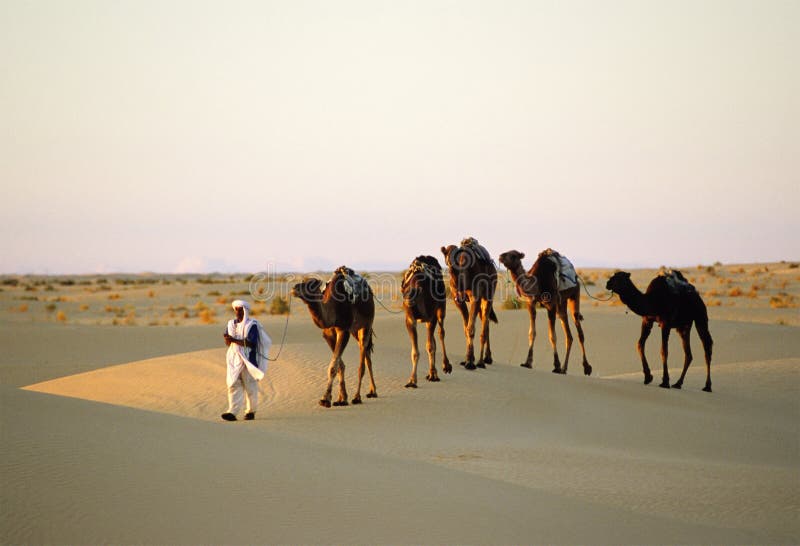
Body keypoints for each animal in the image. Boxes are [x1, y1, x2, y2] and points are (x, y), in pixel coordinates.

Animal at [290, 264, 378, 404]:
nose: (294, 289)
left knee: (362, 361)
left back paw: (357, 397)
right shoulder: (328, 335)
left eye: (310, 284)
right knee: (367, 356)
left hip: (366, 325)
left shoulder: (343, 331)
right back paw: (372, 391)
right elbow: (340, 365)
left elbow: (333, 366)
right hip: (354, 330)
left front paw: (325, 399)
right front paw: (342, 398)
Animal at [400, 255, 450, 386]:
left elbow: (430, 346)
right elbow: (415, 351)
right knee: (434, 339)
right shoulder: (410, 319)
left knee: (441, 332)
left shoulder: (431, 317)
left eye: (413, 295)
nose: (408, 302)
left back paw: (445, 366)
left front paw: (433, 374)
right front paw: (412, 380)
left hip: (441, 307)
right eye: (404, 292)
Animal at [440, 238, 496, 370]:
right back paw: (486, 357)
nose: (458, 286)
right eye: (447, 263)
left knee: (485, 323)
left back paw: (483, 360)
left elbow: (470, 328)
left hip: (489, 295)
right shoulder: (458, 300)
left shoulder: (475, 297)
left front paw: (470, 362)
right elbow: (466, 328)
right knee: (485, 322)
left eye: (460, 263)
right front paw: (467, 359)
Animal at [500, 246, 592, 374]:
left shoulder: (551, 305)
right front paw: (527, 362)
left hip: (574, 293)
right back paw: (564, 369)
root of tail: (576, 276)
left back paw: (586, 367)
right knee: (568, 334)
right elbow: (532, 332)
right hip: (561, 303)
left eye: (513, 255)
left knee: (579, 330)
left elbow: (552, 336)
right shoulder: (531, 303)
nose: (501, 256)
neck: (537, 283)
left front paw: (556, 365)